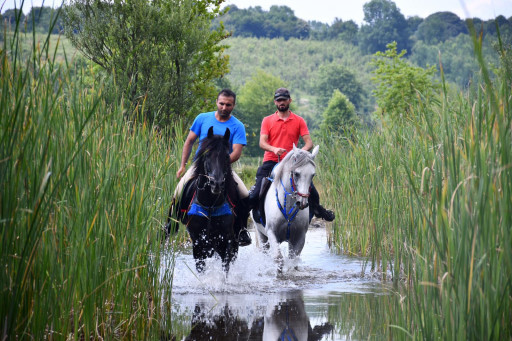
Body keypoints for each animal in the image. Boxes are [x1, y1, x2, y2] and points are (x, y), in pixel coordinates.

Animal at [167, 126, 241, 272]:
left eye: (227, 156)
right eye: (207, 155)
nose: (216, 183)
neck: (210, 204)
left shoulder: (226, 242)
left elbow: (225, 270)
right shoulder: (198, 243)